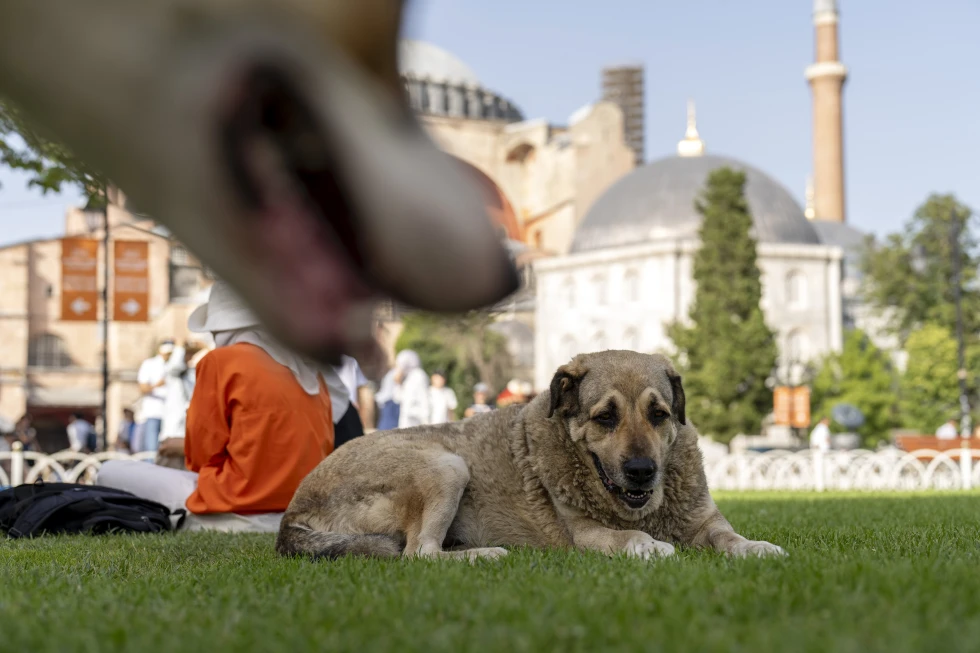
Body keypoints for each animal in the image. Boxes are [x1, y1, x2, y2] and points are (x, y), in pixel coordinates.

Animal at [277, 351, 786, 560]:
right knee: (418, 554)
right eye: (605, 417)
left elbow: (729, 537)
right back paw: (483, 555)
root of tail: (291, 513)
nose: (642, 472)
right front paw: (648, 545)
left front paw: (756, 547)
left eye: (659, 414)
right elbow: (629, 538)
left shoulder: (705, 522)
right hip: (446, 465)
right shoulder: (586, 534)